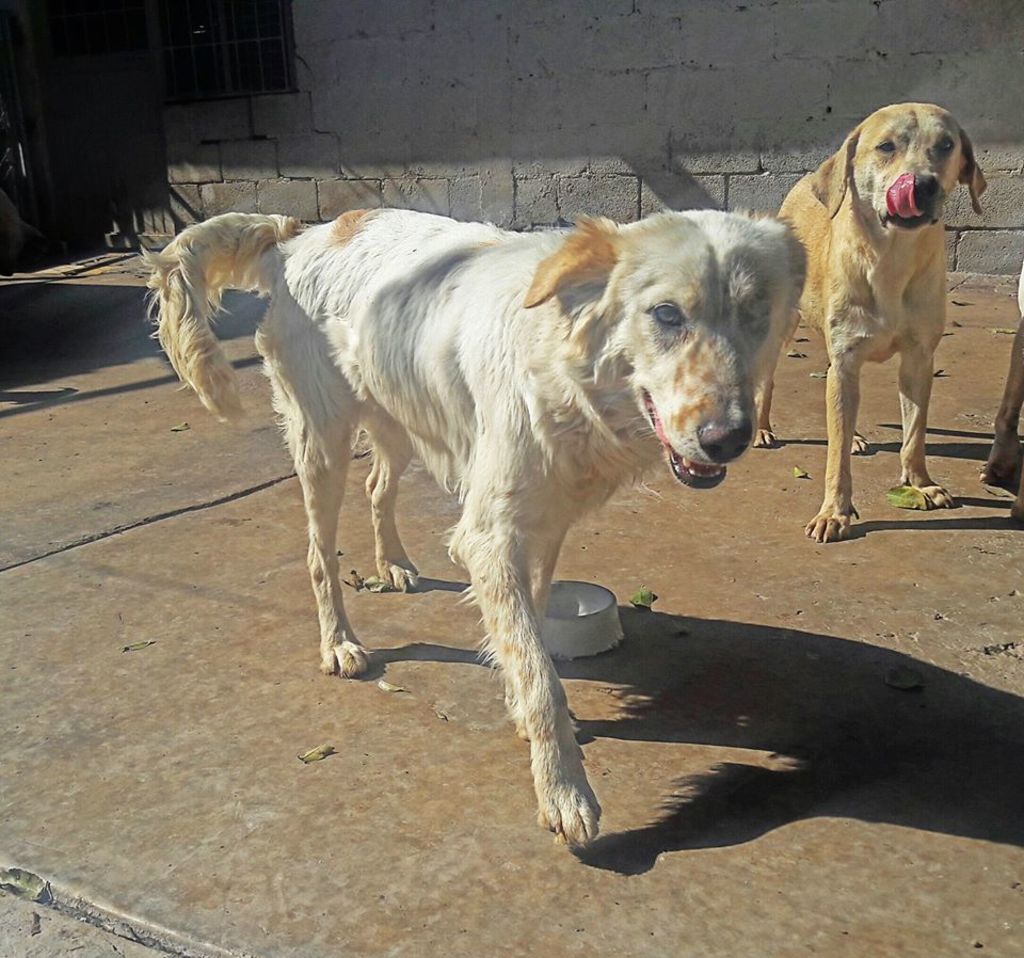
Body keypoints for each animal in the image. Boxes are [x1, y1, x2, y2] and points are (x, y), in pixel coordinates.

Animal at [144, 205, 802, 843]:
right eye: (666, 314)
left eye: (755, 312)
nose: (728, 439)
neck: (565, 370)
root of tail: (300, 234)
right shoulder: (489, 536)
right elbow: (541, 675)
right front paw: (564, 793)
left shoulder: (543, 524)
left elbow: (528, 629)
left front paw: (520, 708)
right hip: (322, 442)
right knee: (318, 553)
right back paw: (339, 643)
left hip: (398, 419)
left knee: (377, 487)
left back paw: (394, 564)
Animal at [757, 103, 987, 544]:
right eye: (886, 147)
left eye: (946, 145)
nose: (923, 185)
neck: (891, 262)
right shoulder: (847, 361)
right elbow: (835, 459)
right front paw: (834, 512)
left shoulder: (917, 360)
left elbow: (914, 433)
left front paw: (920, 483)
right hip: (783, 328)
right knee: (768, 380)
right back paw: (762, 429)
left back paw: (857, 436)